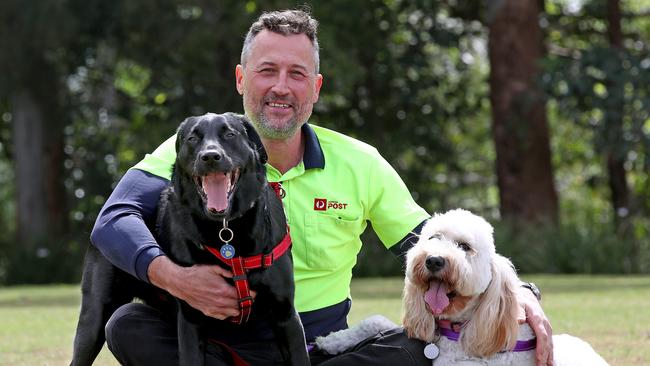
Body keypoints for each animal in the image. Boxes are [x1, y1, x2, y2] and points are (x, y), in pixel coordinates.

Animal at [72, 113, 310, 364]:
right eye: (192, 138)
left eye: (230, 134)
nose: (210, 156)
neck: (226, 231)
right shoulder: (191, 318)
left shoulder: (286, 315)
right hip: (94, 317)